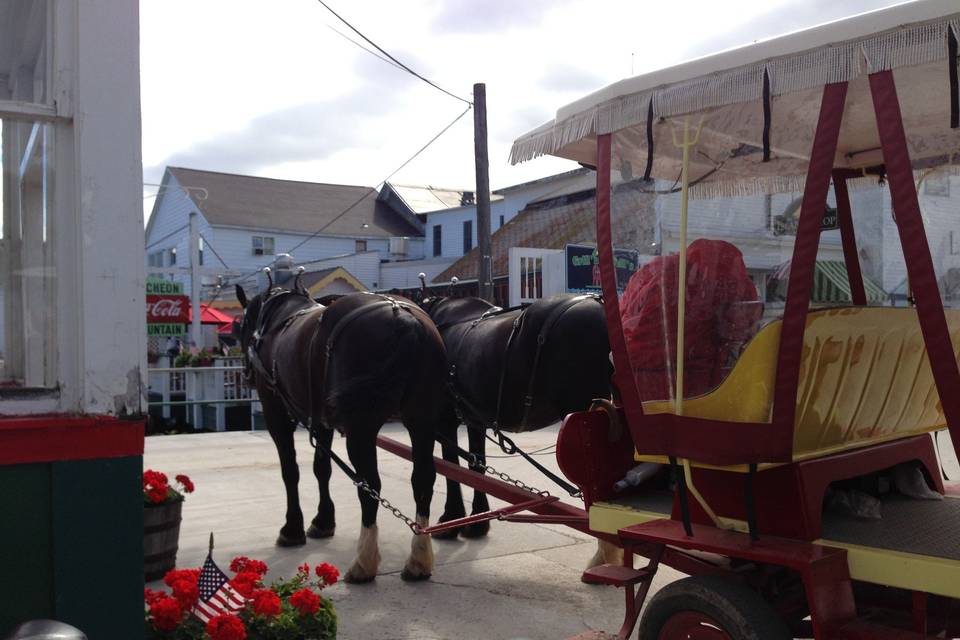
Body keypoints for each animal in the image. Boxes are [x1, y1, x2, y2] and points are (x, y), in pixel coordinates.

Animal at [238, 284, 452, 584]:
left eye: (241, 324)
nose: (246, 373)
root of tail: (404, 319)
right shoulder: (321, 421)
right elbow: (322, 468)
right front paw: (323, 521)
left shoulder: (275, 412)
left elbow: (290, 471)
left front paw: (292, 528)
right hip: (420, 421)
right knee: (422, 479)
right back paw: (419, 559)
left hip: (362, 427)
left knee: (370, 484)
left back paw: (364, 562)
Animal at [418, 292, 616, 564]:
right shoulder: (474, 420)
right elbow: (476, 466)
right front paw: (476, 522)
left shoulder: (445, 420)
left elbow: (452, 469)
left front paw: (450, 520)